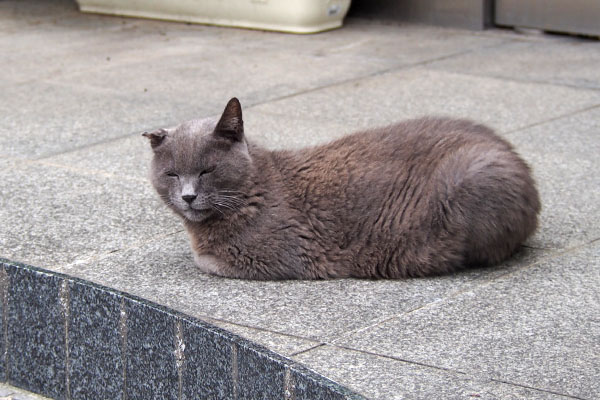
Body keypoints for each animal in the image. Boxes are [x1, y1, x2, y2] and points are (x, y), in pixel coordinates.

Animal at [144, 97, 540, 280]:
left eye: (207, 170)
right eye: (171, 174)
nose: (188, 195)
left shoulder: (276, 257)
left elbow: (204, 261)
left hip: (472, 177)